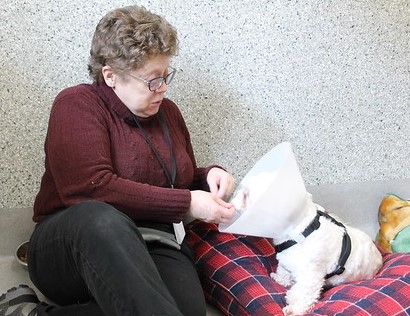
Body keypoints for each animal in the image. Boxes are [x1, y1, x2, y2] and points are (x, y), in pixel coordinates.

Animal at [231, 175, 384, 316]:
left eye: (249, 194)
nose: (234, 194)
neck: (300, 234)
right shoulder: (286, 263)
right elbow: (284, 272)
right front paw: (280, 279)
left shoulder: (310, 277)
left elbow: (302, 294)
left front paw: (294, 309)